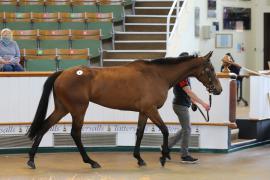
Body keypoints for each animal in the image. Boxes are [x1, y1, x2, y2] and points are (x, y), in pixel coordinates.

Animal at [26, 50, 221, 169]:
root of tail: (63, 73)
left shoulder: (144, 111)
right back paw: (91, 161)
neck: (157, 75)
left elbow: (140, 133)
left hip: (63, 108)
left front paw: (139, 158)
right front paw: (164, 157)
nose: (218, 90)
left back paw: (31, 160)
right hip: (78, 109)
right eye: (210, 69)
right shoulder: (151, 109)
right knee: (75, 133)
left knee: (44, 127)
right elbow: (165, 130)